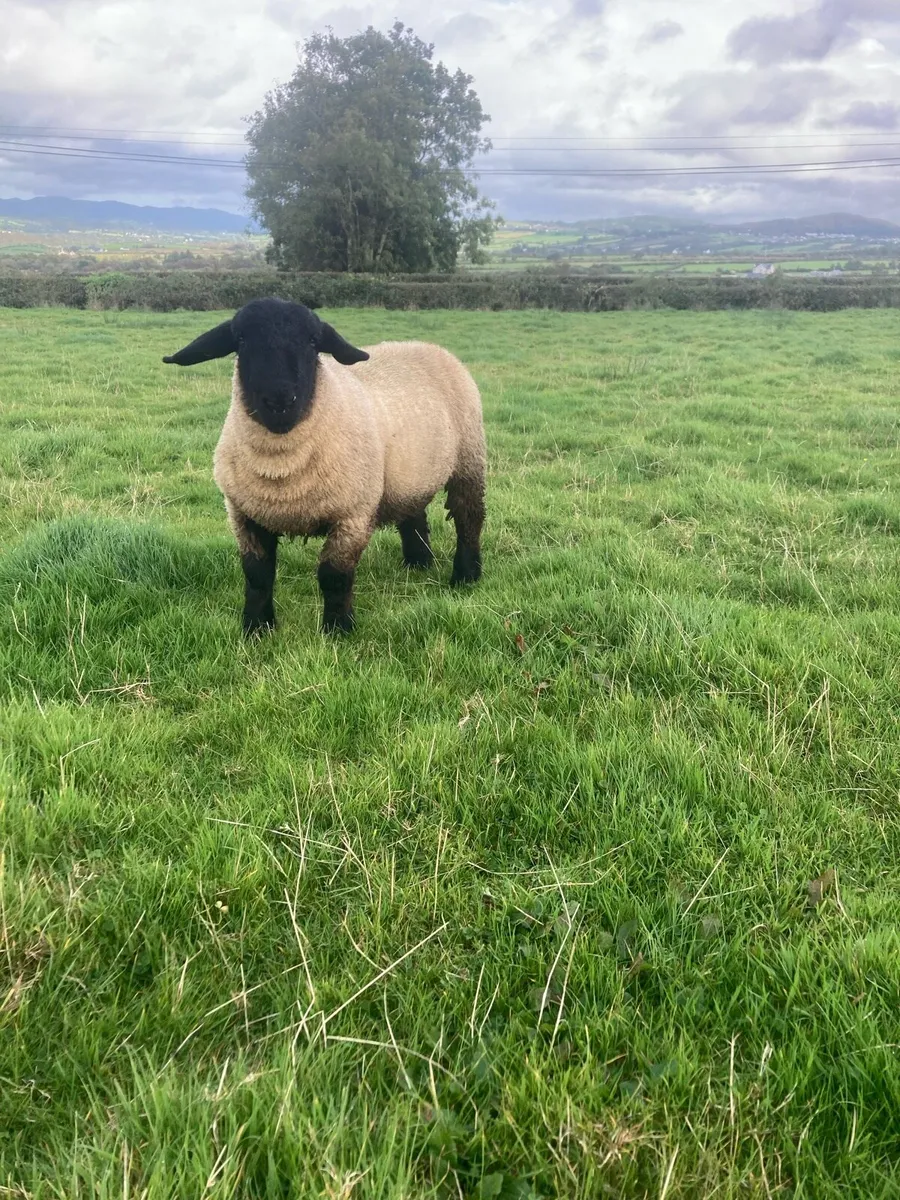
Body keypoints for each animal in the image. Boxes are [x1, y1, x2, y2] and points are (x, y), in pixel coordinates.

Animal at [163, 297, 486, 636]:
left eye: (313, 341)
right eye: (240, 339)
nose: (279, 402)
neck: (281, 470)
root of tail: (425, 345)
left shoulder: (352, 514)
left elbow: (334, 576)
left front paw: (338, 629)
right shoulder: (244, 513)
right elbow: (257, 575)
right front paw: (256, 628)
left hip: (469, 458)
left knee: (469, 516)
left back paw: (466, 576)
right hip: (407, 473)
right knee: (413, 513)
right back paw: (418, 563)